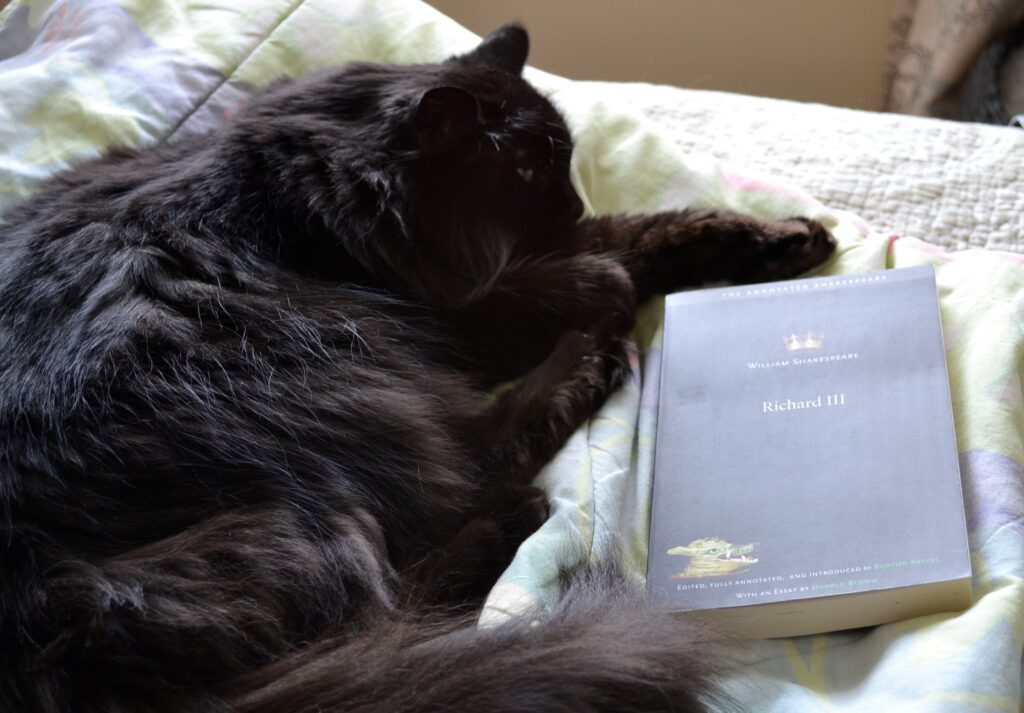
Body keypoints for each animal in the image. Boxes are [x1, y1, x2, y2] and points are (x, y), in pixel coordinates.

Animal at [0, 23, 831, 713]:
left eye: (564, 161)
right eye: (527, 170)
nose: (571, 203)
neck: (280, 182)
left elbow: (650, 230)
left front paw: (790, 239)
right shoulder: (449, 312)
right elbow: (604, 267)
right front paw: (608, 286)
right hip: (341, 420)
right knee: (417, 561)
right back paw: (563, 424)